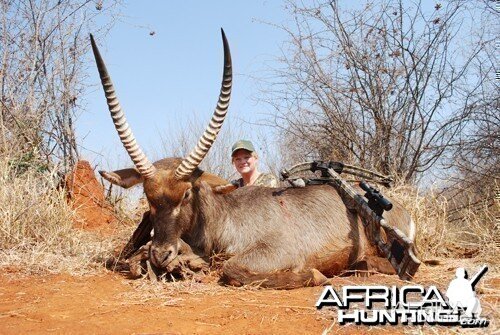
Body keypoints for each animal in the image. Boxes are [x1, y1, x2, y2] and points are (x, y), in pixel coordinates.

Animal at [89, 30, 414, 290]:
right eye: (148, 196)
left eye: (186, 194)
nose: (160, 254)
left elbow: (231, 269)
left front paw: (317, 276)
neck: (226, 218)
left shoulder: (278, 251)